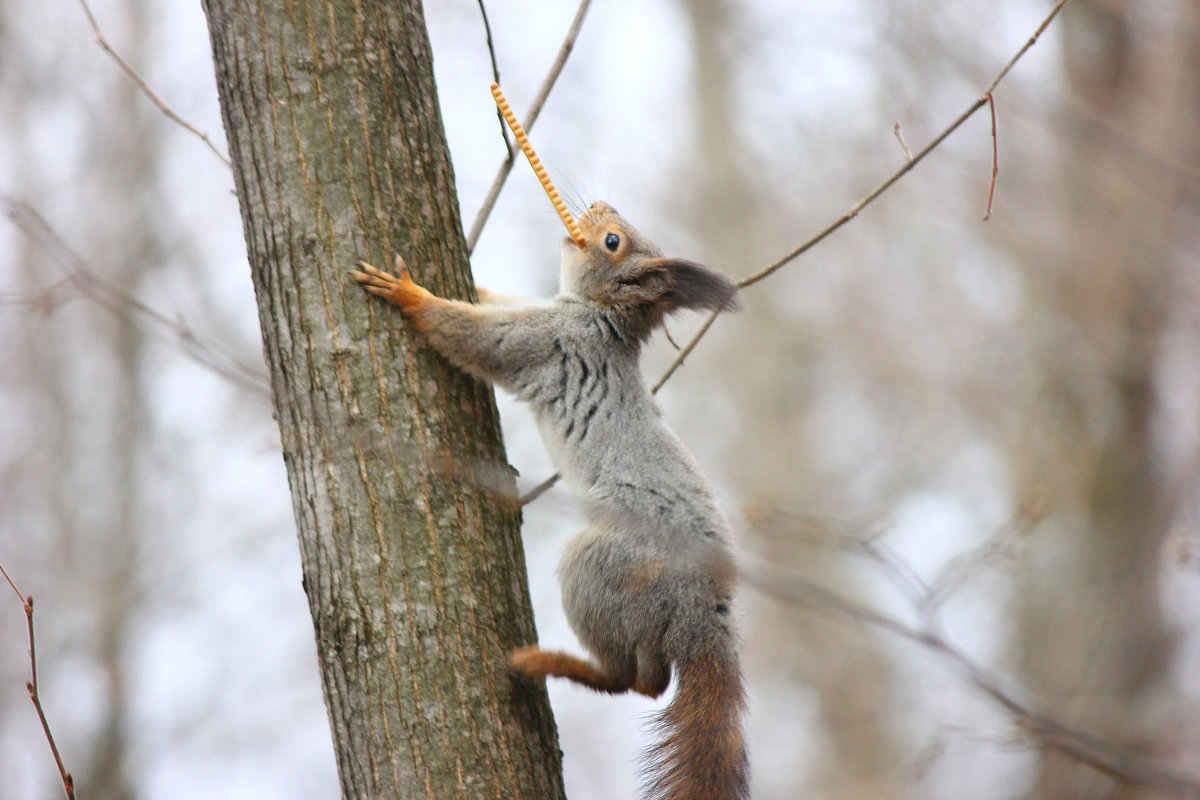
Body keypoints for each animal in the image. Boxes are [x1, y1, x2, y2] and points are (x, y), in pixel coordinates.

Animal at [348, 201, 744, 800]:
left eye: (612, 241)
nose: (597, 205)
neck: (596, 316)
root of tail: (707, 605)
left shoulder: (548, 340)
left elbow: (474, 336)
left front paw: (407, 293)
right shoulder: (539, 312)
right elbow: (500, 302)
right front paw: (475, 285)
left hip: (603, 566)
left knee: (637, 682)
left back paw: (543, 662)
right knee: (651, 681)